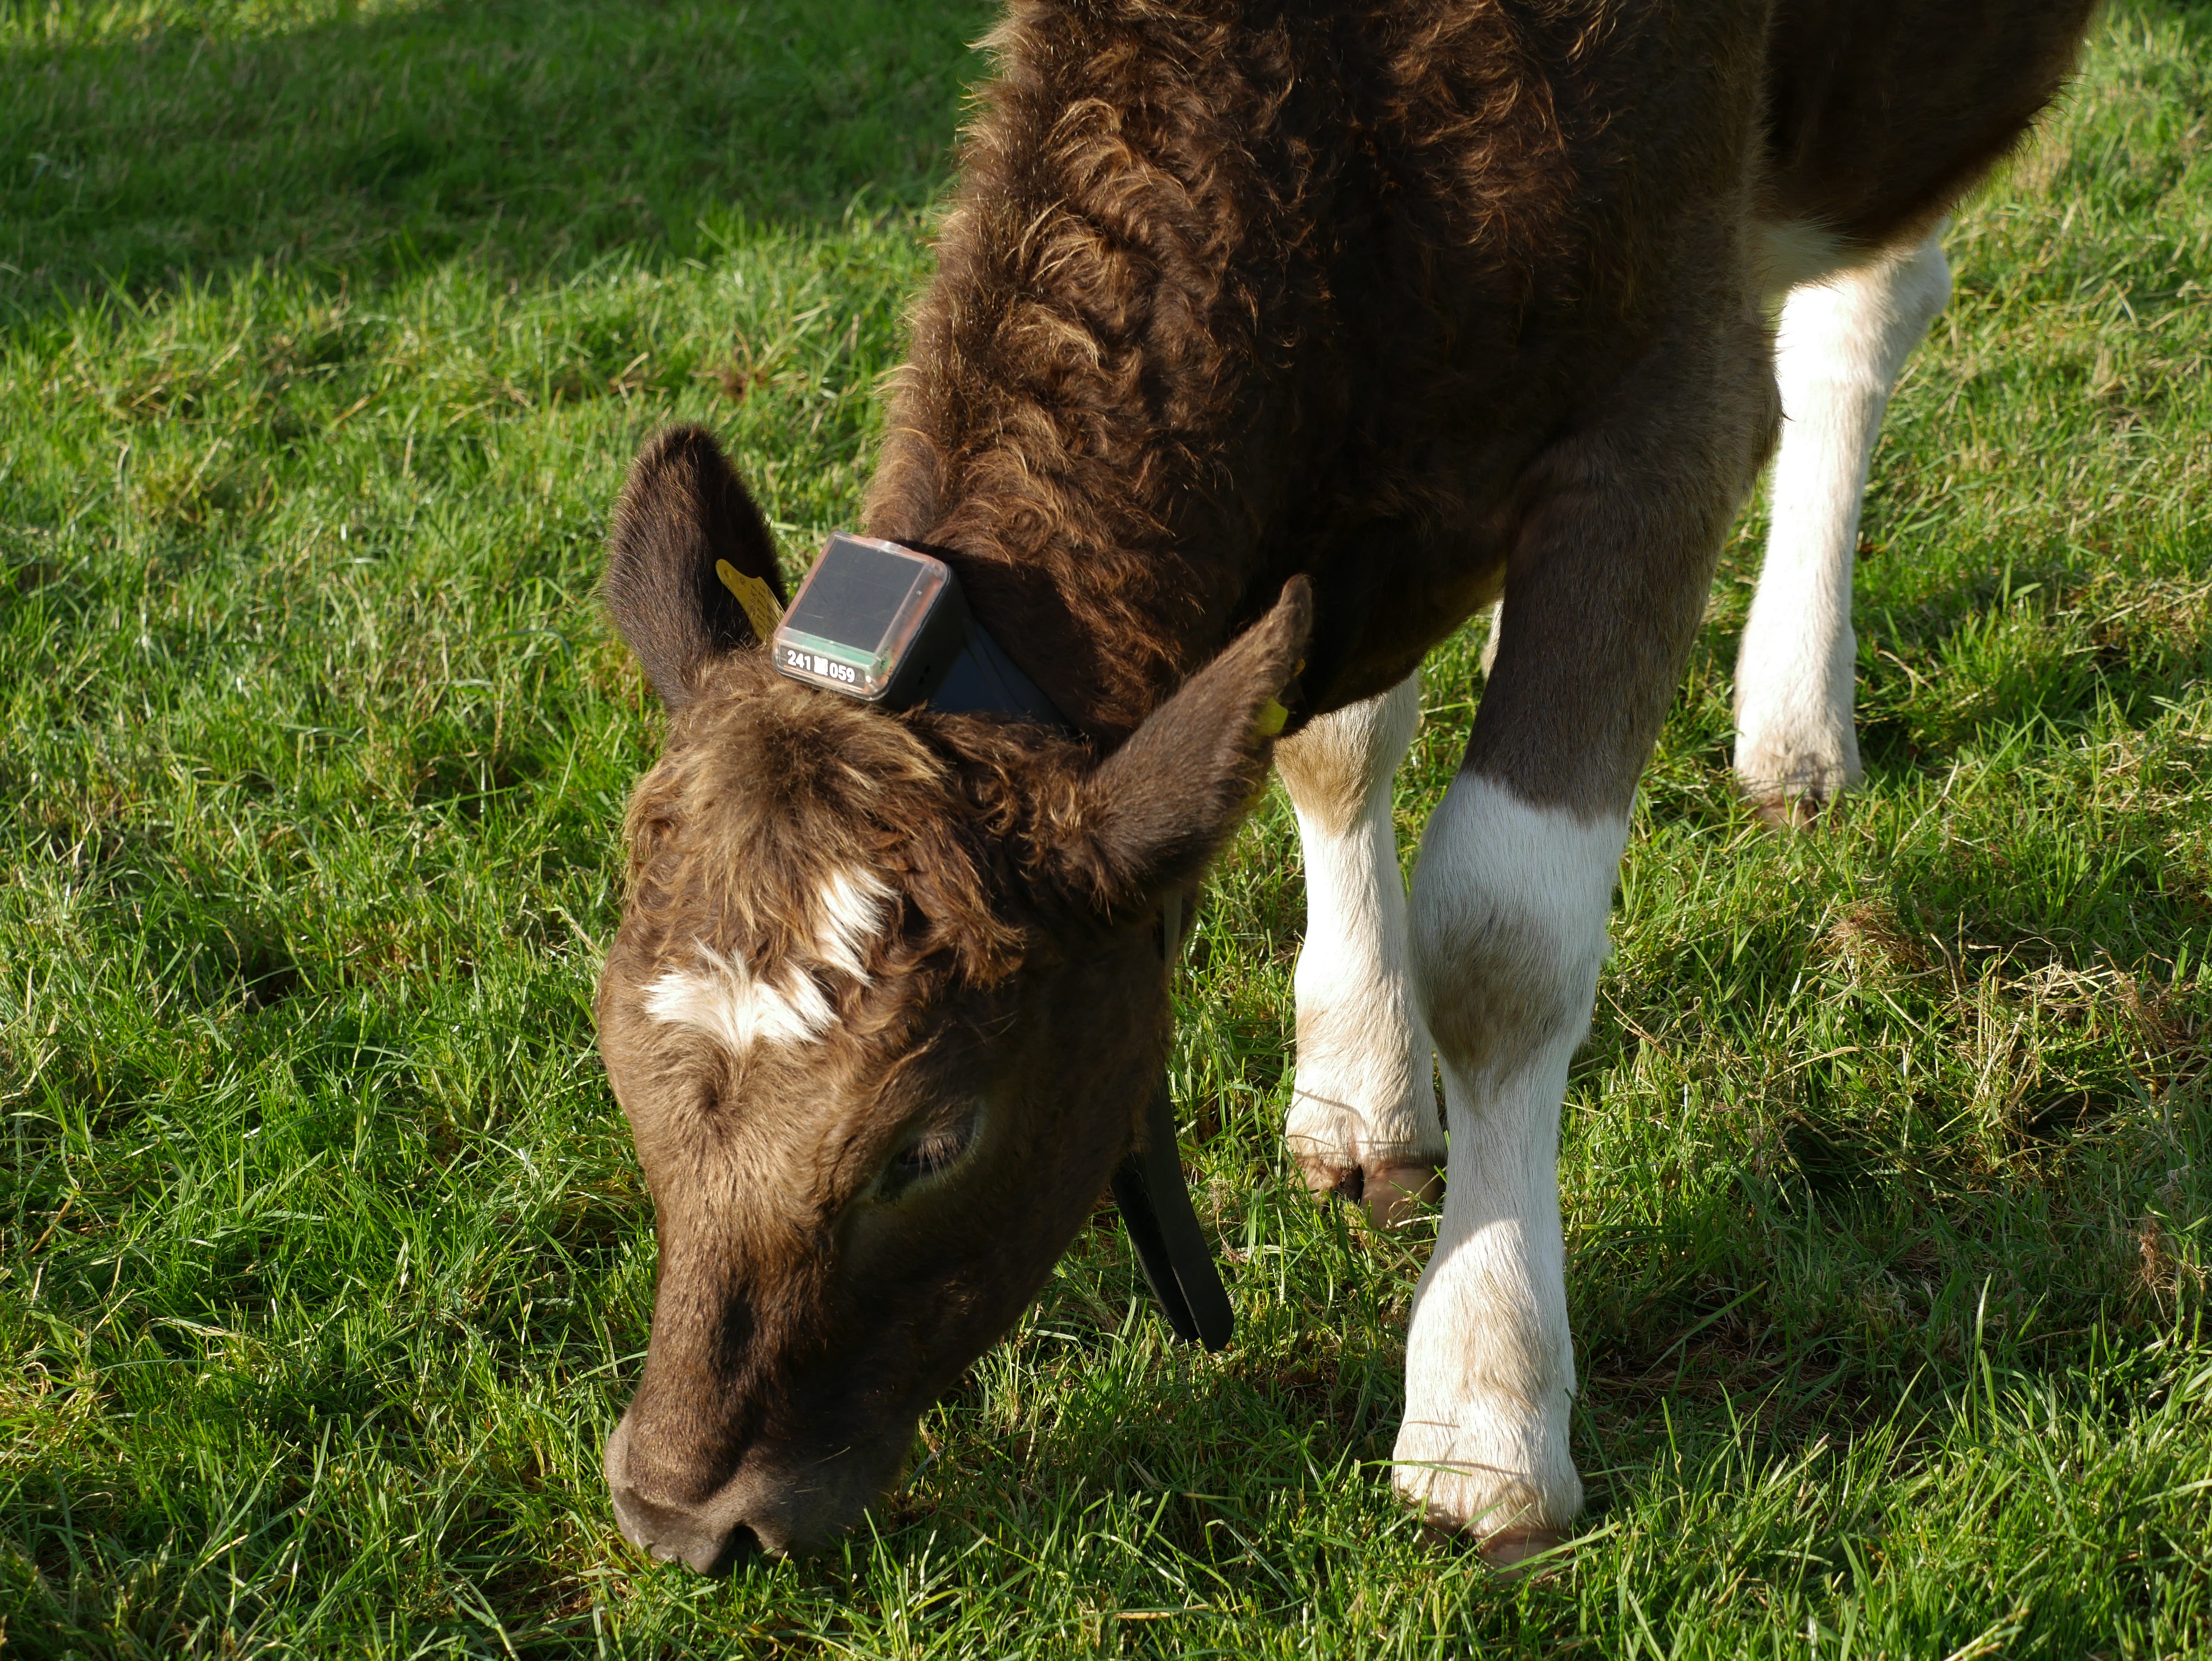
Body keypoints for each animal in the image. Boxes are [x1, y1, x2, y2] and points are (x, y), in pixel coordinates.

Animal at [591, 0, 2096, 1572]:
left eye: (932, 1140)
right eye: (615, 1068)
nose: (676, 1510)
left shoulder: (1668, 409)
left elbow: (1504, 938)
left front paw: (1482, 1412)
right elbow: (1324, 741)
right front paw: (1365, 1085)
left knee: (1870, 307)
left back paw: (1796, 710)